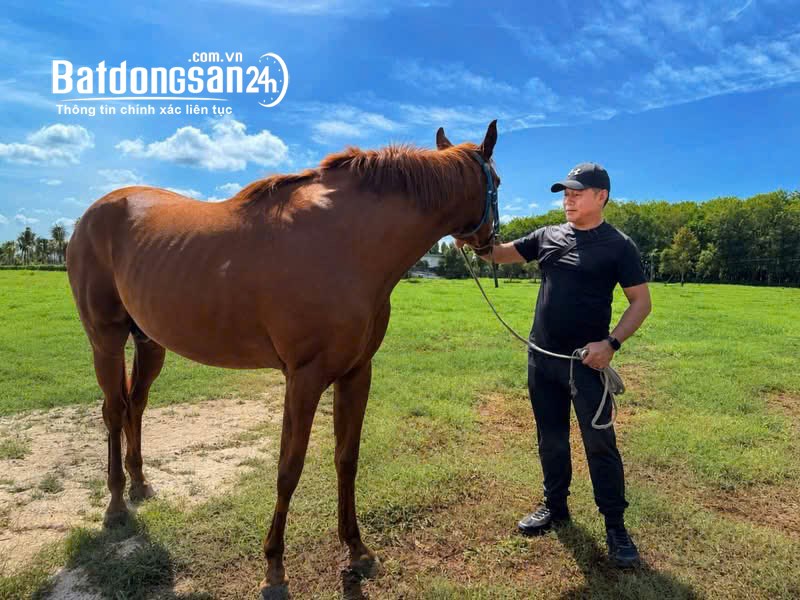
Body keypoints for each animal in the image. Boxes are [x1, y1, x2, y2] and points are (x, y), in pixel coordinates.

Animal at [65, 120, 500, 594]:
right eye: (496, 182)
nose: (491, 244)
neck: (346, 242)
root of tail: (90, 216)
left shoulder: (356, 374)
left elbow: (347, 459)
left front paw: (357, 549)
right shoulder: (304, 379)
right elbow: (288, 469)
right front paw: (274, 568)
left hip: (149, 342)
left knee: (135, 405)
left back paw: (139, 484)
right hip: (105, 341)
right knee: (112, 411)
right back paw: (115, 505)